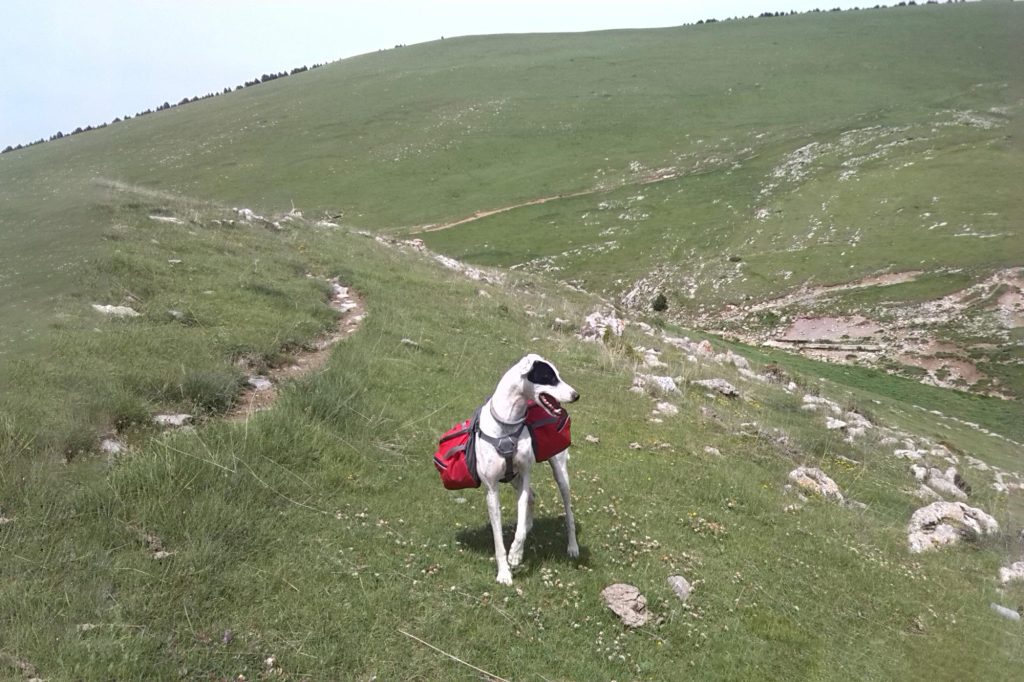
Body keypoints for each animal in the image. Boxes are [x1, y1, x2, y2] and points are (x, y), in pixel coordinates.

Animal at [475, 352, 581, 581]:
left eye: (558, 375)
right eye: (549, 377)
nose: (576, 395)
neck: (507, 423)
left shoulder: (524, 476)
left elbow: (520, 528)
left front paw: (516, 554)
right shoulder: (492, 489)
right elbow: (498, 539)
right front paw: (504, 573)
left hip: (559, 474)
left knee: (568, 512)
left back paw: (572, 546)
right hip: (512, 478)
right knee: (532, 496)